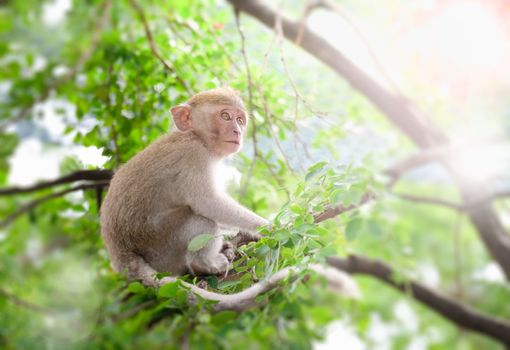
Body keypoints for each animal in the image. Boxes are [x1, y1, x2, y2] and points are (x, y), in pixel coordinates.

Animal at [97, 87, 356, 308]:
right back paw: (205, 263)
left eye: (240, 120)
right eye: (224, 115)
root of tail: (123, 257)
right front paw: (271, 227)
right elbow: (208, 202)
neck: (196, 137)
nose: (237, 131)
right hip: (162, 249)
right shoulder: (194, 155)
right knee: (199, 219)